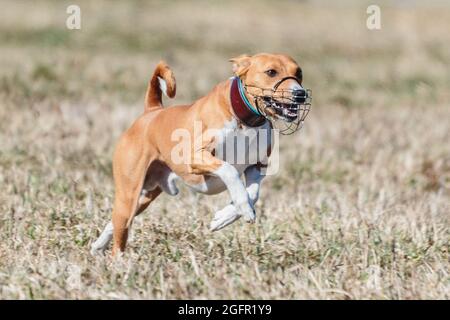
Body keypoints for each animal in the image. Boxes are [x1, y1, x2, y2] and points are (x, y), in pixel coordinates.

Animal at [91, 53, 310, 256]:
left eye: (299, 73)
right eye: (271, 72)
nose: (300, 94)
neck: (244, 120)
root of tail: (151, 111)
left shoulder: (257, 165)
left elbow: (253, 194)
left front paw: (224, 216)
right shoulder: (194, 157)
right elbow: (229, 170)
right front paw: (243, 208)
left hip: (145, 195)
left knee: (116, 223)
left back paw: (97, 246)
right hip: (129, 192)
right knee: (121, 232)